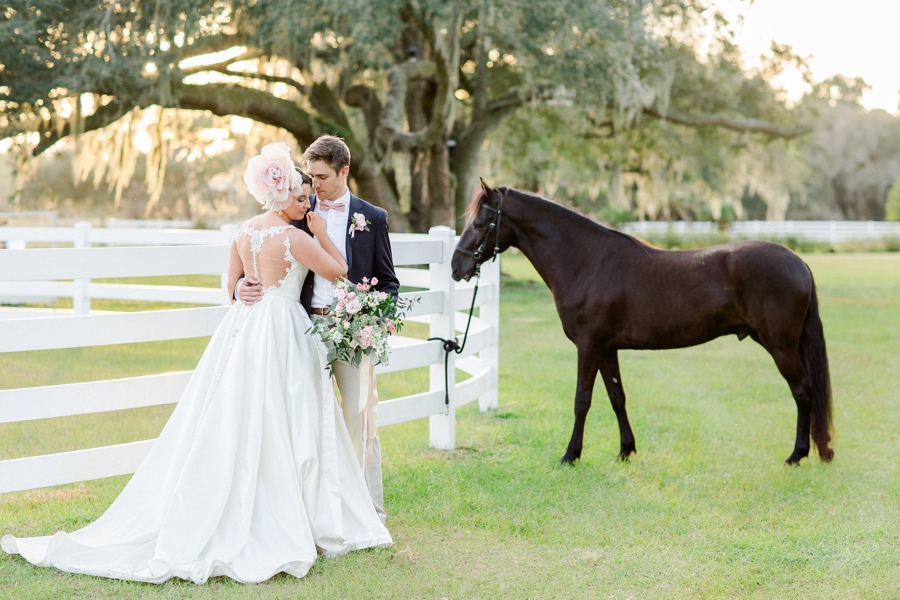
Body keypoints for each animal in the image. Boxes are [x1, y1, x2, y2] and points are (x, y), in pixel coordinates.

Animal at [450, 180, 836, 466]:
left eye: (481, 223)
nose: (457, 267)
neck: (586, 261)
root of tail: (799, 261)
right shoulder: (607, 348)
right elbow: (616, 396)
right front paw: (625, 450)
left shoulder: (588, 346)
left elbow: (582, 400)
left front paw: (570, 455)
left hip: (780, 345)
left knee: (803, 392)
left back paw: (797, 455)